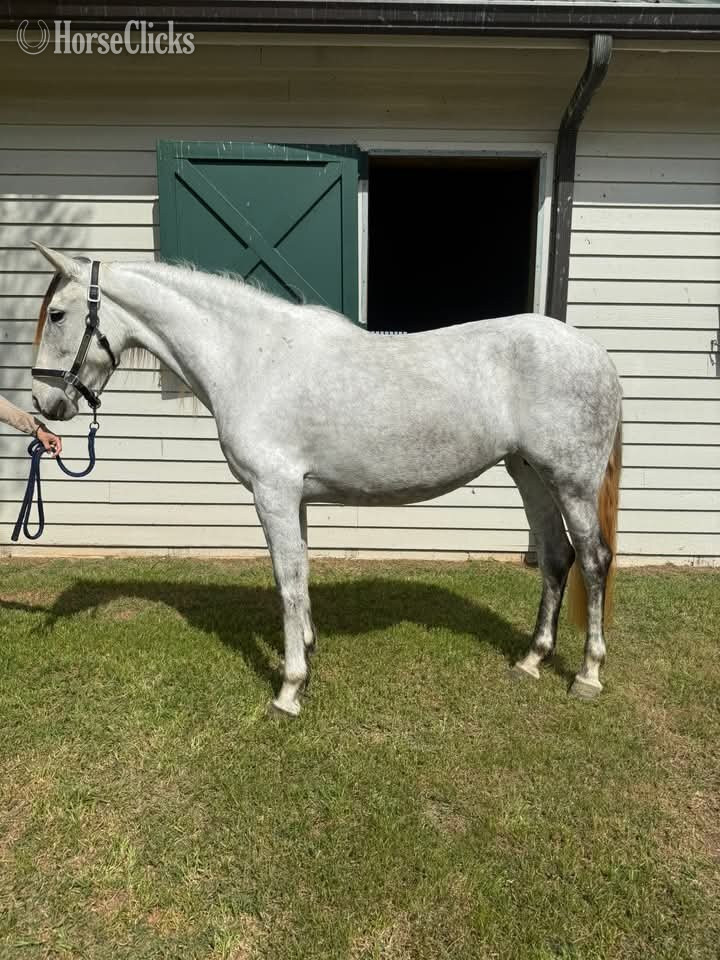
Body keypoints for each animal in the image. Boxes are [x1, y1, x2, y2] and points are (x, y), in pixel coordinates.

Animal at [30, 243, 622, 716]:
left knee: (593, 561)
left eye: (57, 314)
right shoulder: (296, 497)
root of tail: (596, 354)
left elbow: (286, 581)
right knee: (556, 558)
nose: (44, 404)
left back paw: (588, 674)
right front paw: (308, 651)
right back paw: (531, 660)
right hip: (530, 473)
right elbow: (303, 573)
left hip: (570, 480)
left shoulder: (272, 493)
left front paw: (289, 690)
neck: (251, 358)